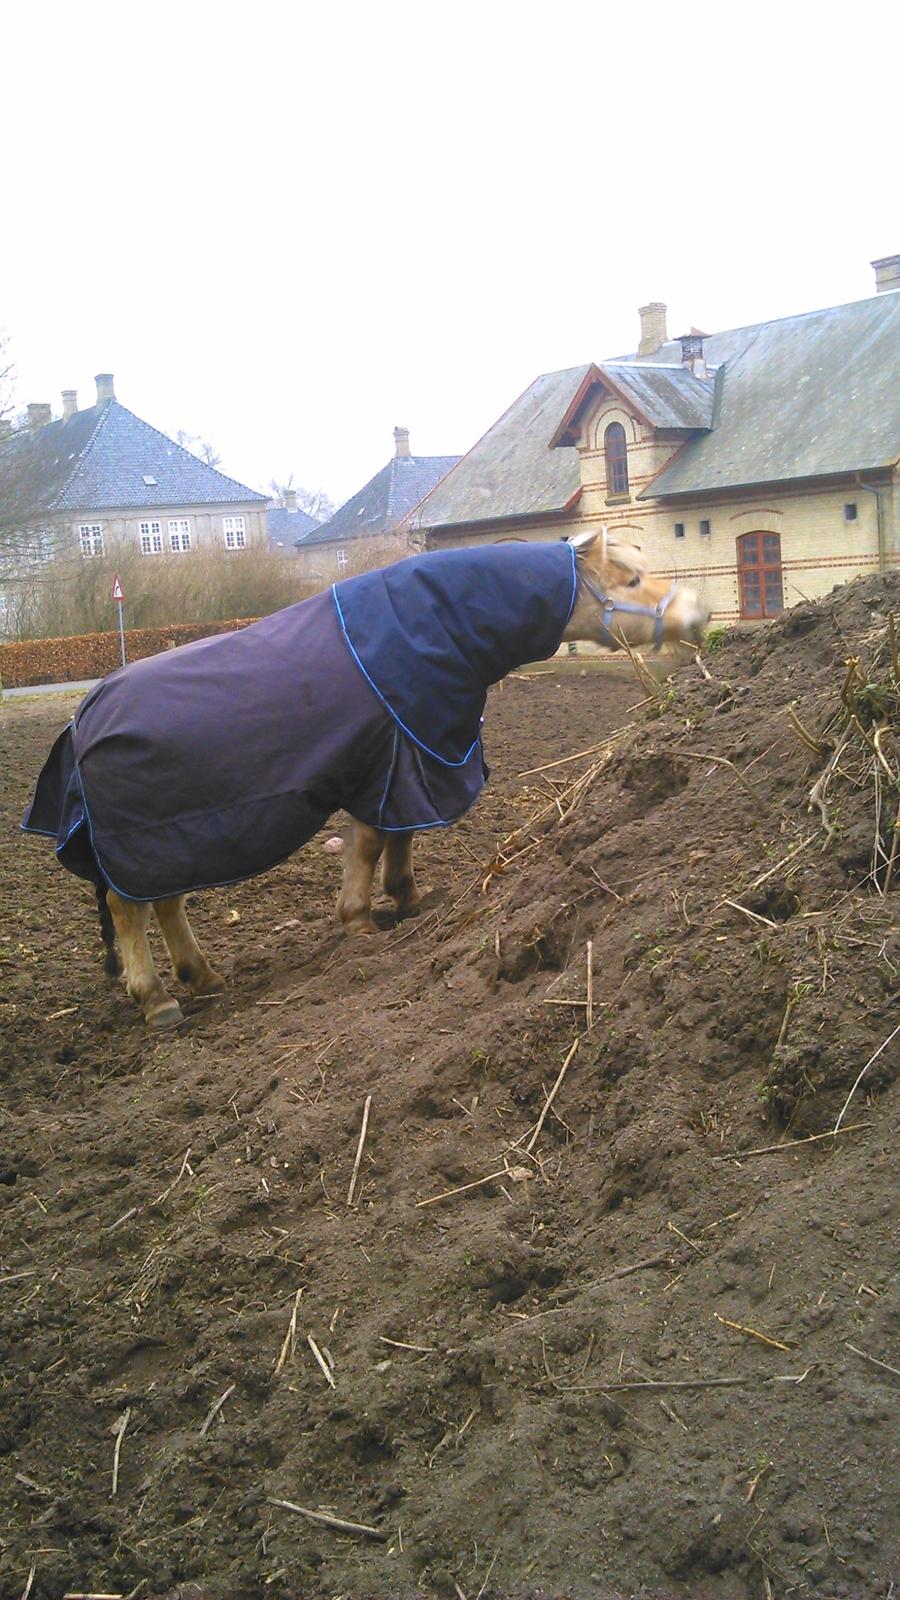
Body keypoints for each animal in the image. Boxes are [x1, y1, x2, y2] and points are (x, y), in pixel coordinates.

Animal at [22, 524, 707, 1024]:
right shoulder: (394, 765)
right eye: (631, 579)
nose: (698, 617)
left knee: (165, 904)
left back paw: (202, 975)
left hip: (165, 845)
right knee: (129, 910)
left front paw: (406, 899)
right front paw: (361, 918)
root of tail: (84, 716)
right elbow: (373, 844)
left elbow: (392, 840)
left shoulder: (399, 765)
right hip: (145, 843)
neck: (428, 630)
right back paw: (157, 998)